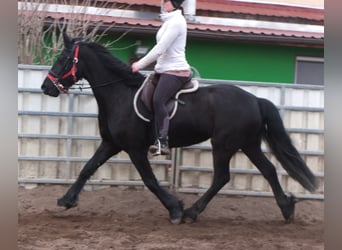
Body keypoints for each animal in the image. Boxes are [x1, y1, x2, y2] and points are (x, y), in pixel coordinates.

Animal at [41, 32, 316, 224]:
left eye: (63, 59)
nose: (46, 87)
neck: (119, 93)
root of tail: (255, 100)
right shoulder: (111, 144)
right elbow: (87, 168)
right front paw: (66, 200)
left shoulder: (134, 149)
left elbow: (150, 180)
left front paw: (175, 209)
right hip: (248, 144)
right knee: (268, 170)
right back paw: (287, 208)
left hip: (224, 144)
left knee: (222, 177)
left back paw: (192, 212)